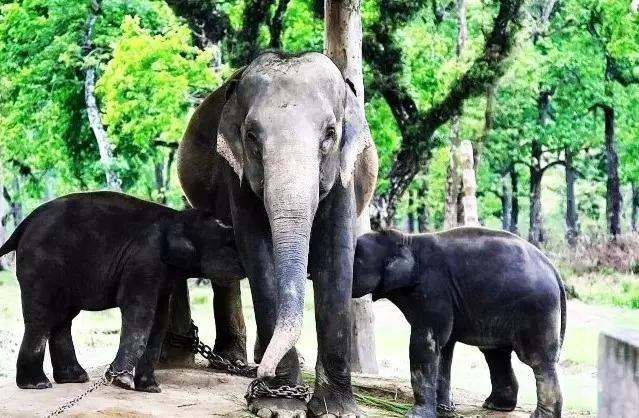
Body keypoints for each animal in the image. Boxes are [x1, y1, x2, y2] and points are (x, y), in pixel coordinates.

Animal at [0, 192, 245, 392]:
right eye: (230, 242)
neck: (176, 217)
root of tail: (22, 226)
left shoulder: (164, 272)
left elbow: (159, 318)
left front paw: (150, 388)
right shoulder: (144, 259)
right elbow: (139, 312)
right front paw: (122, 382)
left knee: (62, 318)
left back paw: (74, 378)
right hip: (42, 264)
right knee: (42, 317)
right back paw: (37, 385)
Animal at [178, 53, 378, 418]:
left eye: (330, 134)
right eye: (252, 136)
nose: (263, 375)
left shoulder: (345, 175)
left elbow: (336, 257)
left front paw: (338, 411)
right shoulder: (237, 175)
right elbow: (258, 254)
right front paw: (278, 406)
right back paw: (235, 362)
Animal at [352, 229, 568, 418]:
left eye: (355, 260)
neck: (407, 239)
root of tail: (553, 270)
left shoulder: (433, 290)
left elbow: (425, 343)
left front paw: (417, 415)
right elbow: (444, 347)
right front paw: (444, 410)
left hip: (537, 309)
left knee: (537, 360)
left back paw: (538, 415)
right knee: (496, 353)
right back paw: (496, 406)